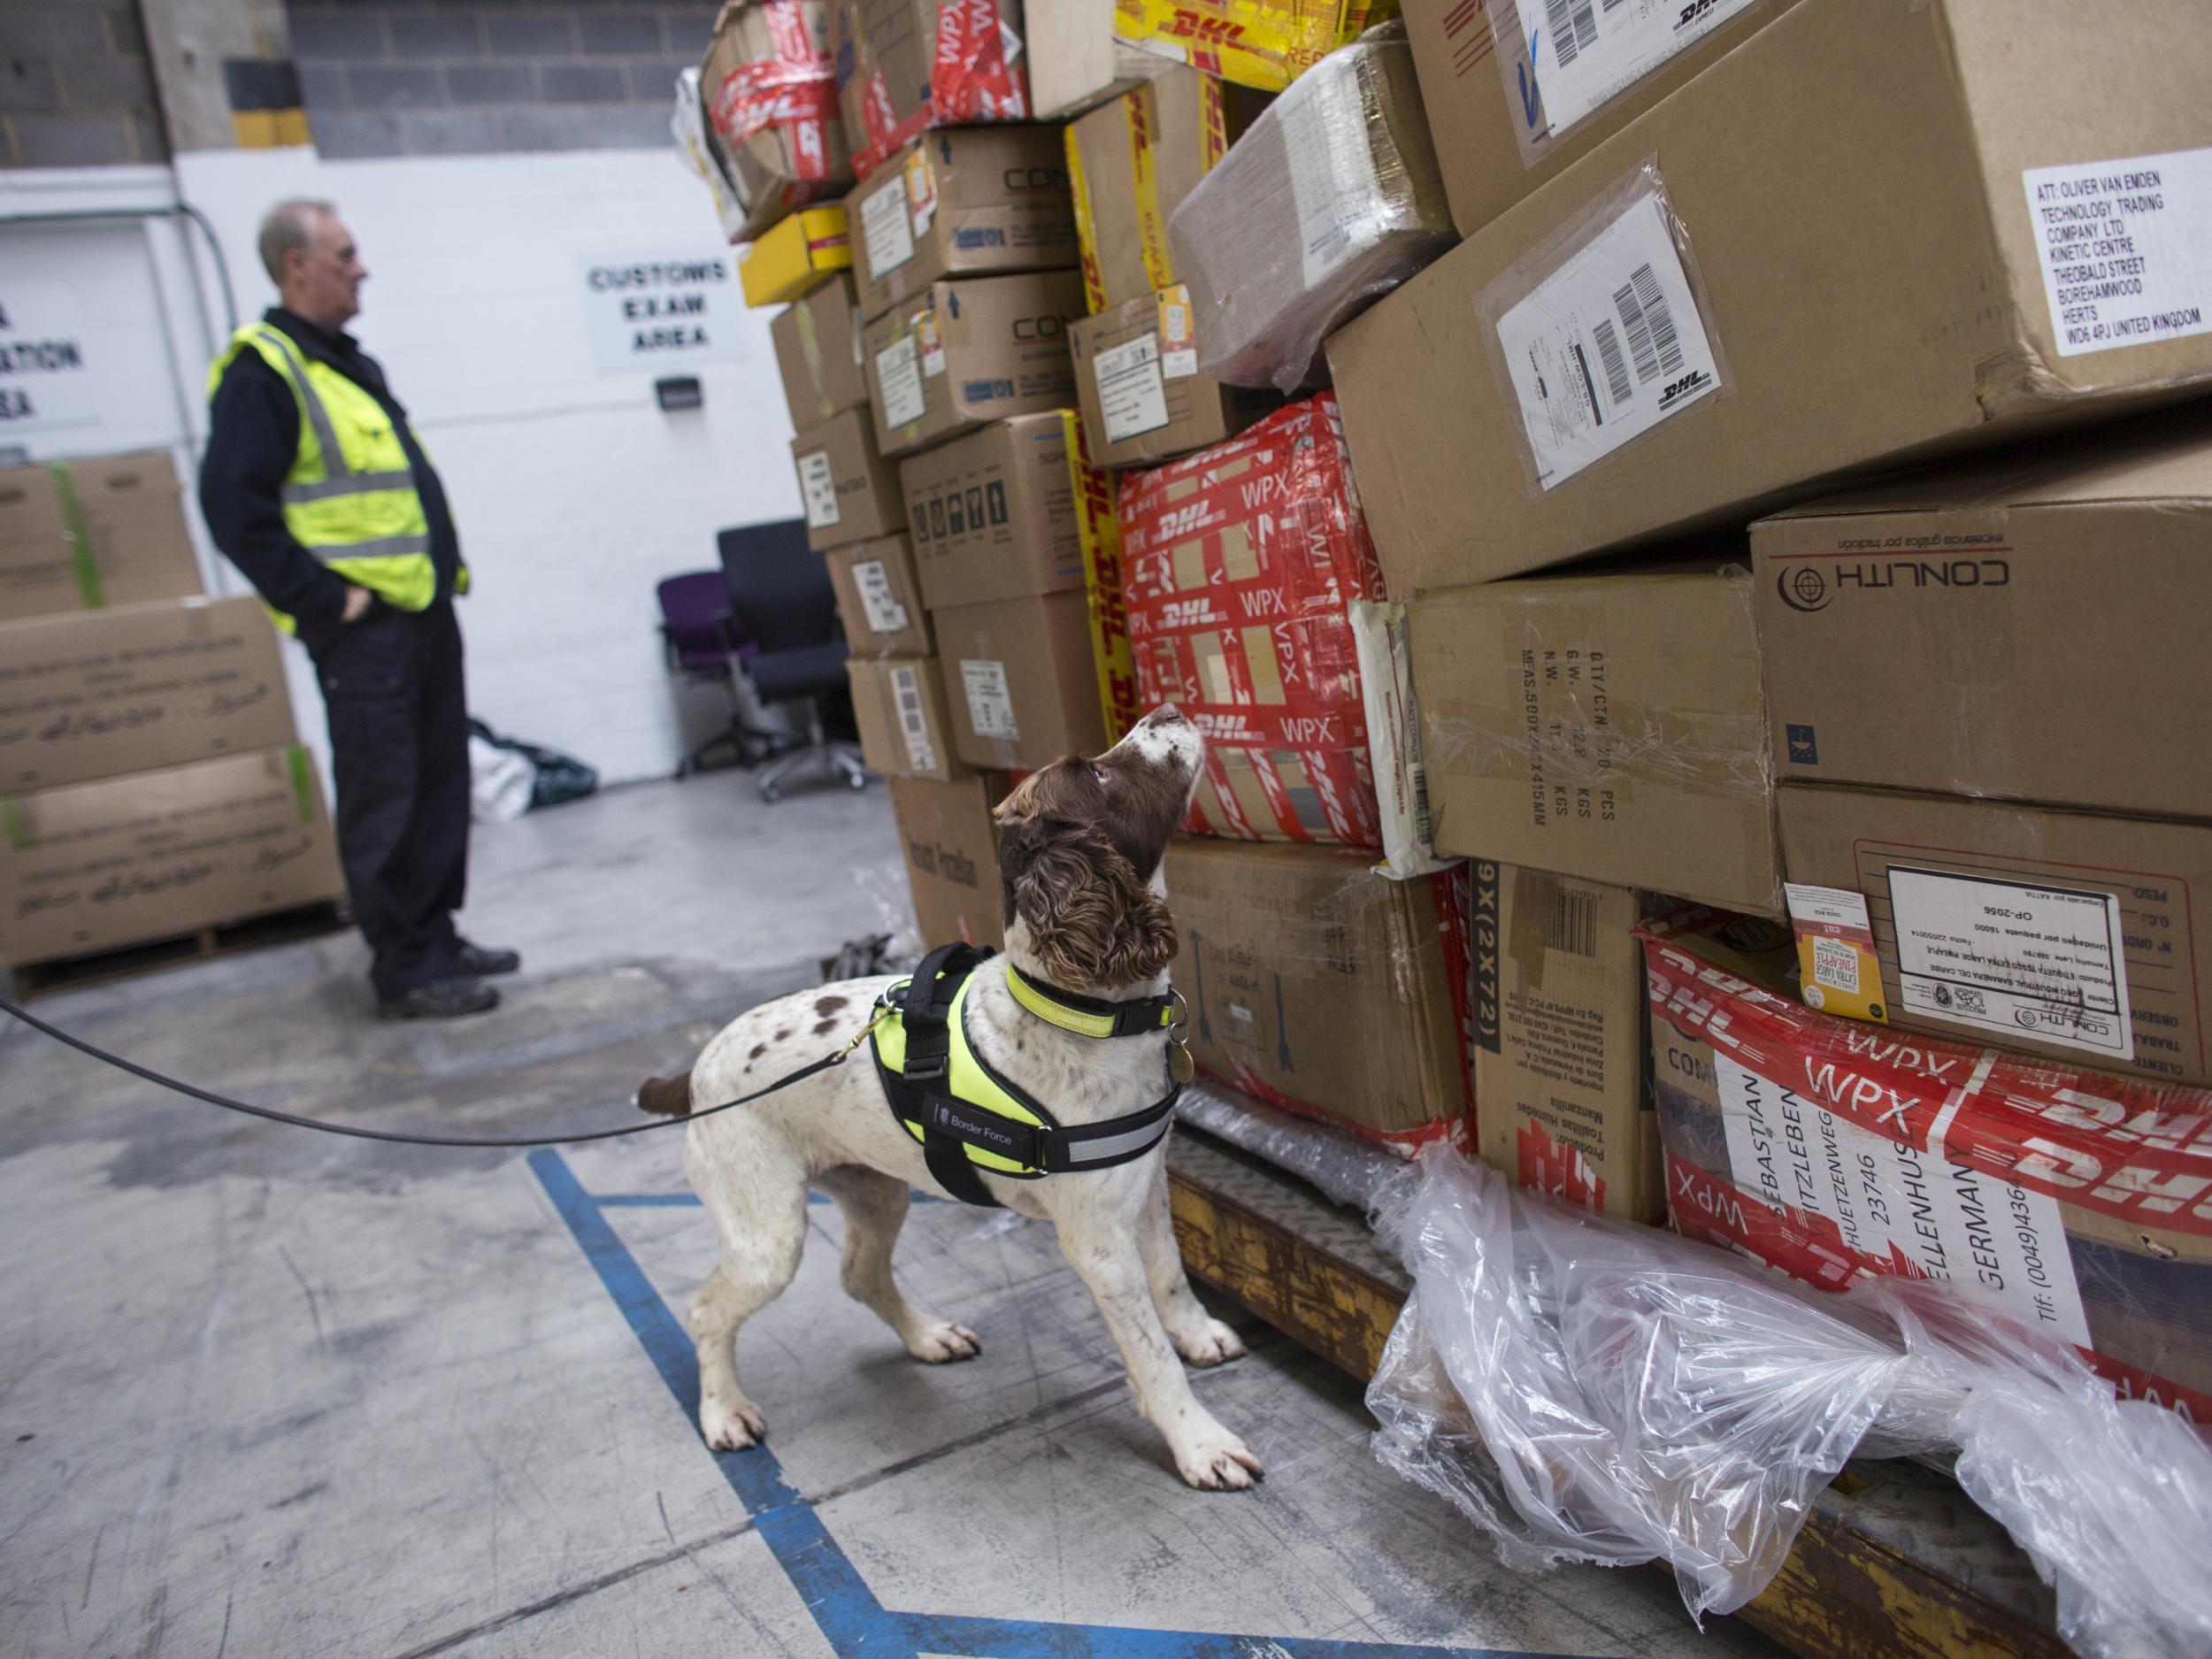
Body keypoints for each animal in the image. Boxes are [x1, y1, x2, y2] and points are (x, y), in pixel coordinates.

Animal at [641, 708, 1265, 1504]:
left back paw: (928, 1336)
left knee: (860, 1273)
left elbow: (1173, 1278)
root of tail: (695, 1071)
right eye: (1097, 773)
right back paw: (723, 1410)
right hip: (765, 1236)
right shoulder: (1097, 1244)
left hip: (873, 1189)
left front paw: (1201, 1333)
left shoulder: (1145, 1188)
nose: (1168, 711)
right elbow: (1152, 1354)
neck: (1080, 1011)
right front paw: (1200, 1442)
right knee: (706, 1309)